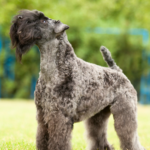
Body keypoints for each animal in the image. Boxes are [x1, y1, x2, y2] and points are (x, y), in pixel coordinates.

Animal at [9, 9, 145, 150]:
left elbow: (59, 142)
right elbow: (42, 138)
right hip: (98, 116)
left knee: (130, 138)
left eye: (43, 21)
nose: (18, 18)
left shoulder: (60, 116)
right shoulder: (42, 116)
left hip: (125, 113)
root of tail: (119, 72)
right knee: (99, 136)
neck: (55, 70)